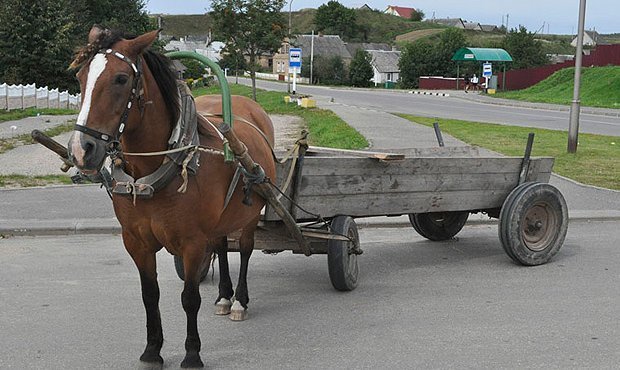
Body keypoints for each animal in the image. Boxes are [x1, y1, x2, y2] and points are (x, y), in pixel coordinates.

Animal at [66, 25, 274, 368]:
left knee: (244, 250)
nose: (82, 150)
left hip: (250, 213)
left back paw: (239, 301)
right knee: (222, 247)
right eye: (80, 77)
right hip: (219, 221)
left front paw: (192, 353)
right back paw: (224, 296)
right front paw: (152, 349)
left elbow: (189, 298)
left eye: (121, 79)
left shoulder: (191, 243)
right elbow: (150, 295)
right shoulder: (136, 242)